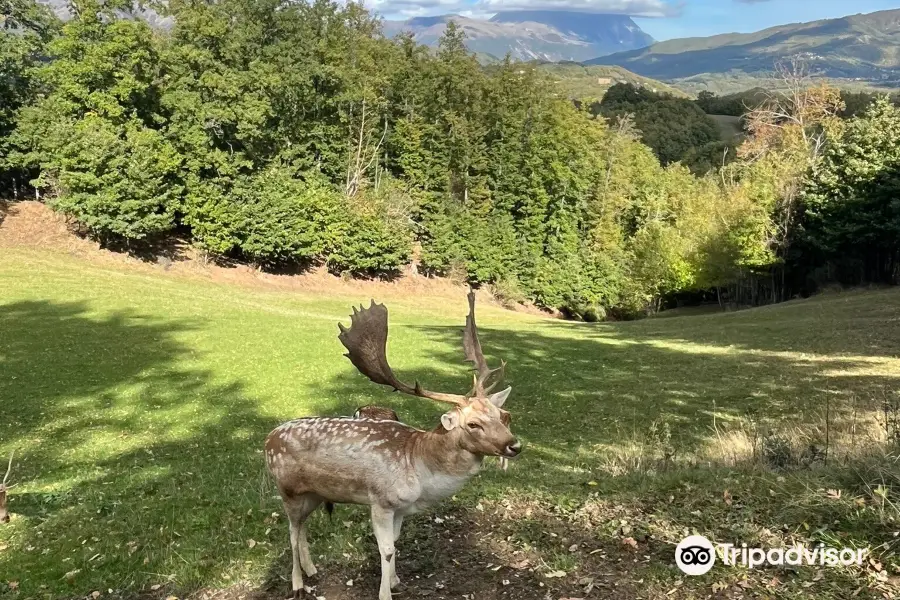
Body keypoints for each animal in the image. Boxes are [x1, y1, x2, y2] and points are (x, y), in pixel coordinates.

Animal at [264, 290, 520, 600]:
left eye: (501, 415)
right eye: (473, 424)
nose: (514, 445)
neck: (419, 467)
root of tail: (267, 439)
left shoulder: (400, 508)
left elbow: (396, 542)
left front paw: (397, 581)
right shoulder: (381, 501)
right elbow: (385, 549)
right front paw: (385, 592)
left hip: (313, 493)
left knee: (301, 528)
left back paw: (312, 570)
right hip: (287, 489)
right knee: (290, 532)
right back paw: (298, 583)